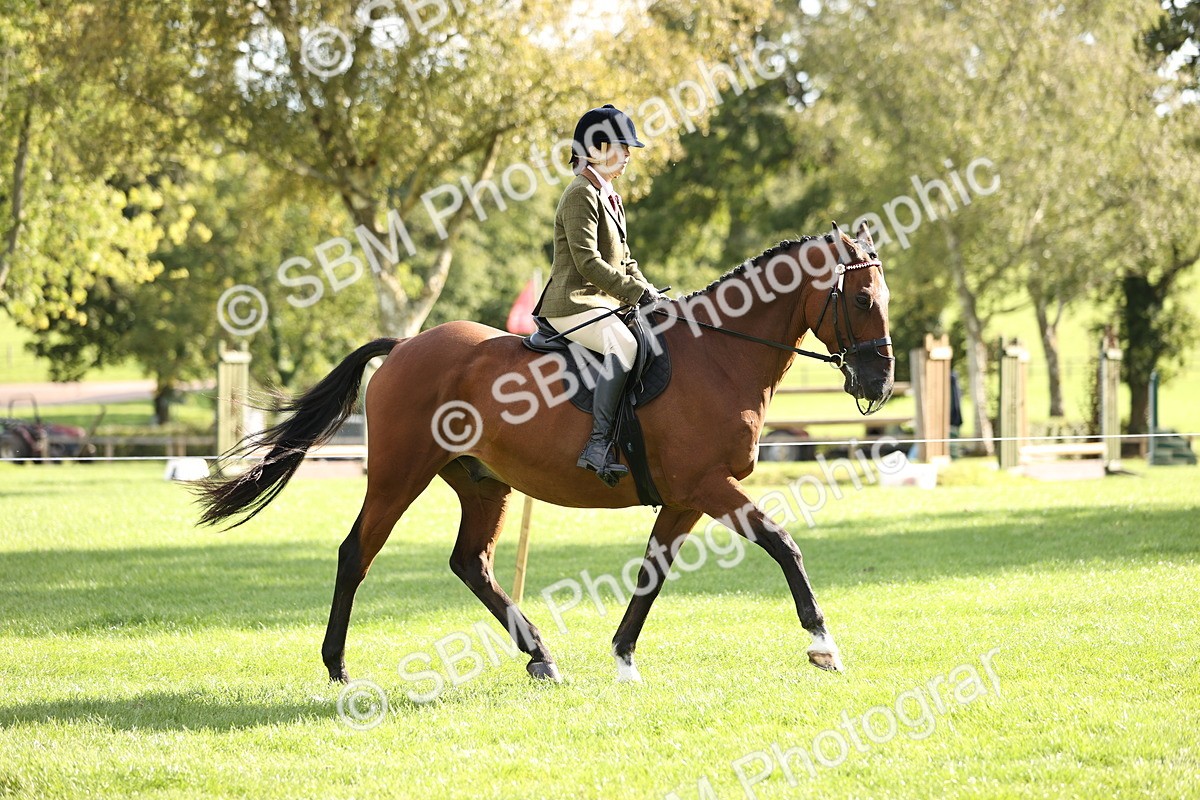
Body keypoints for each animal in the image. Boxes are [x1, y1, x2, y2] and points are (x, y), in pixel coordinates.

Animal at [196, 221, 894, 685]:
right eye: (863, 300)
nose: (879, 383)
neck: (719, 353)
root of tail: (405, 347)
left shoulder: (685, 498)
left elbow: (651, 573)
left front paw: (622, 658)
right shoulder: (707, 485)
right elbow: (784, 543)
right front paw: (823, 643)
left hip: (482, 482)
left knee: (470, 562)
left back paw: (541, 655)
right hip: (399, 476)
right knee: (355, 553)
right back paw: (337, 666)